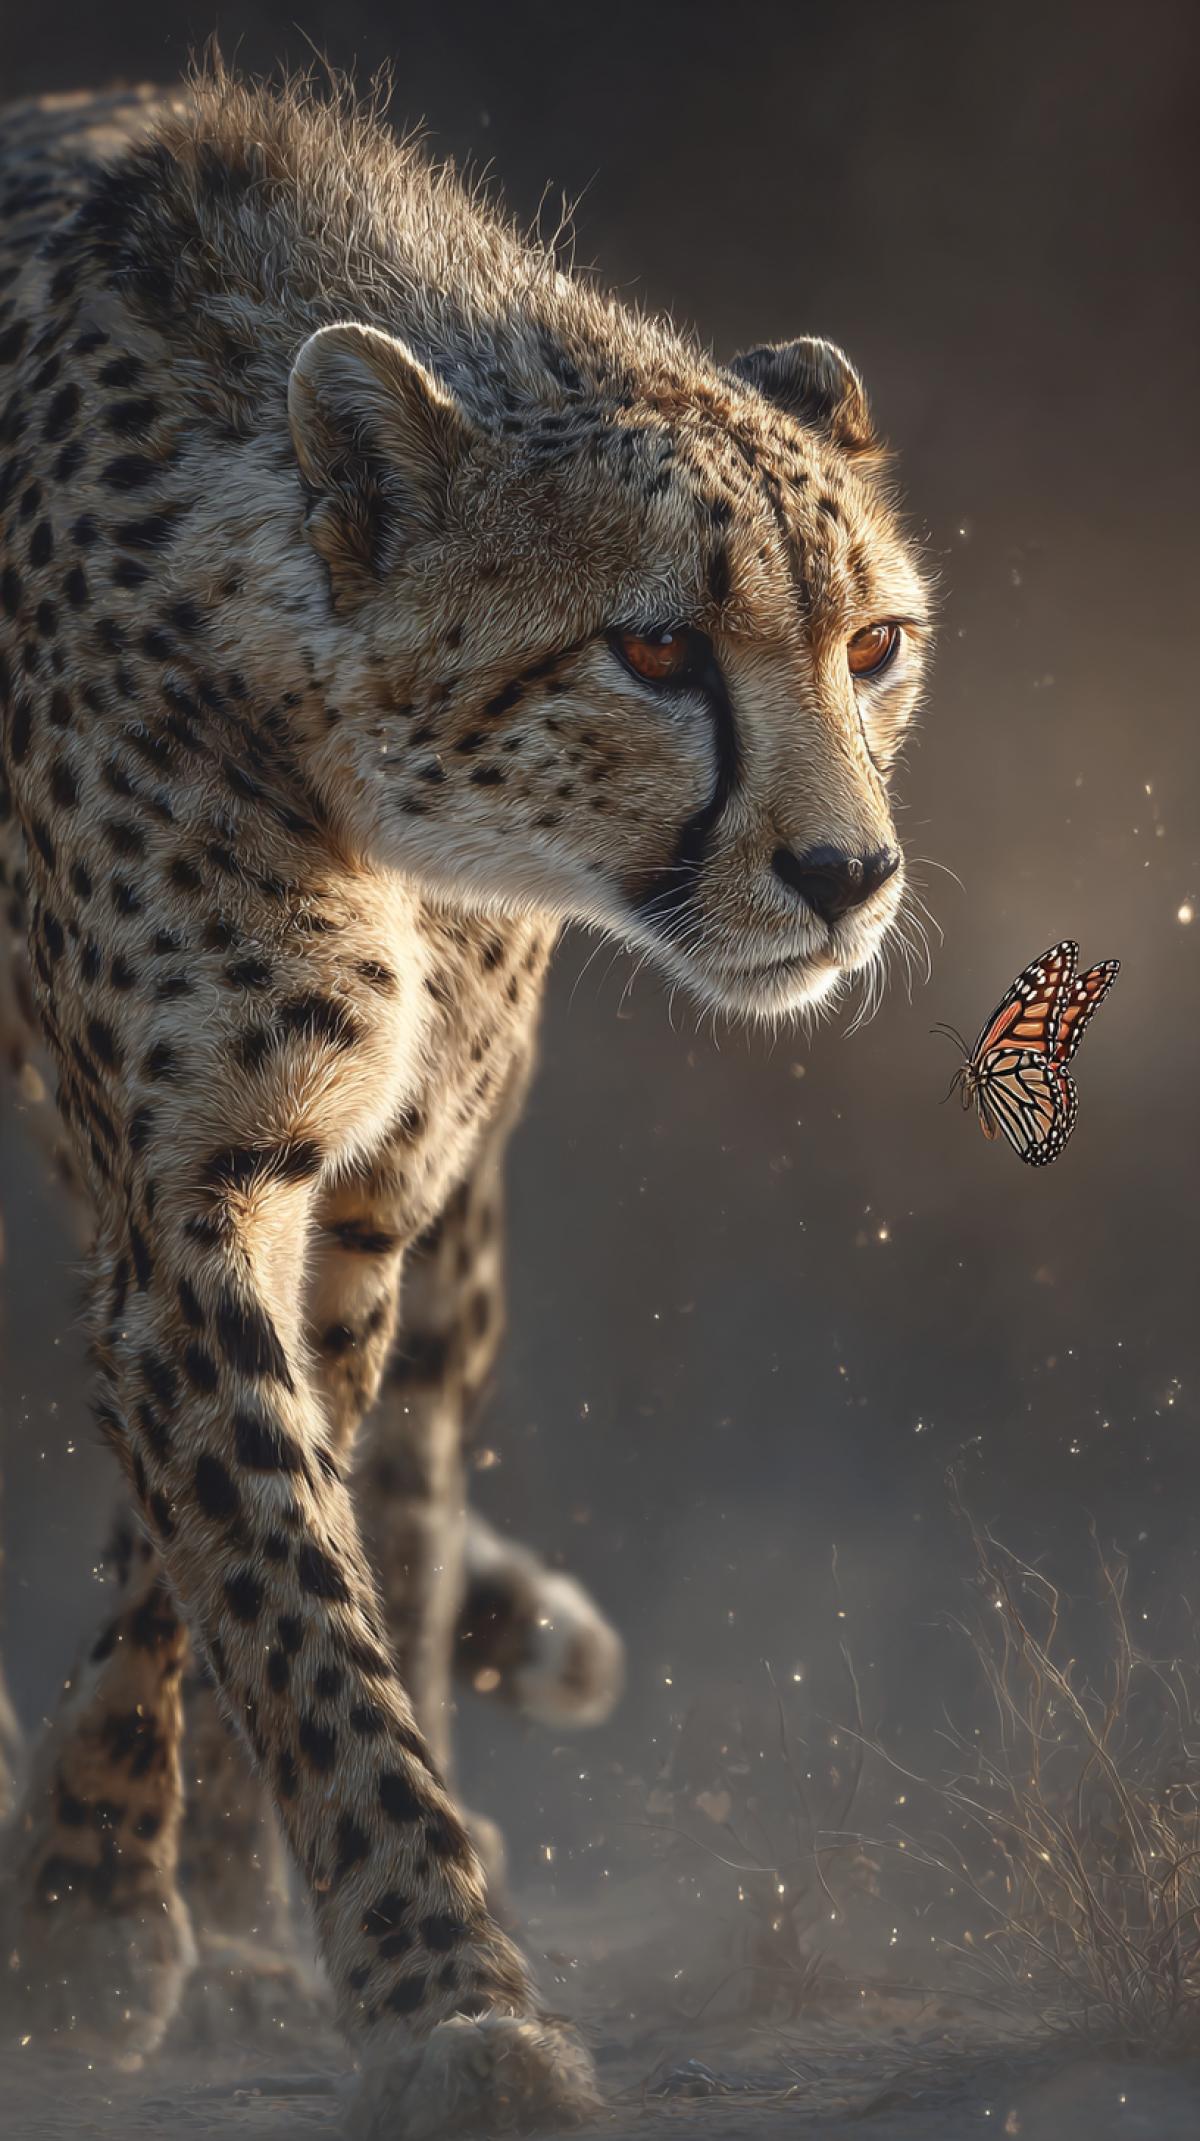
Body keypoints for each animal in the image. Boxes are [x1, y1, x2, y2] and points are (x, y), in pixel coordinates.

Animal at [0, 65, 930, 2136]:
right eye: (653, 645)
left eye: (875, 645)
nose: (847, 878)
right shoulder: (188, 1188)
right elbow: (274, 1593)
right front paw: (415, 1998)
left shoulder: (337, 1189)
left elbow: (267, 1573)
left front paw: (169, 1918)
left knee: (403, 1487)